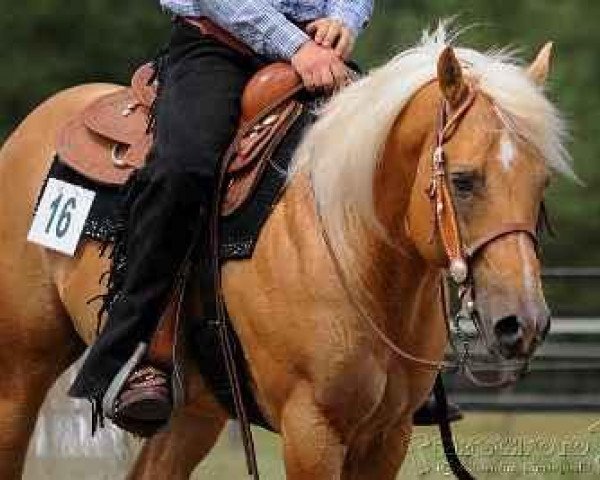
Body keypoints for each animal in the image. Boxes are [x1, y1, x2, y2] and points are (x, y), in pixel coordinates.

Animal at [0, 26, 572, 480]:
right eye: (463, 180)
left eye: (541, 183)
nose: (523, 322)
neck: (352, 250)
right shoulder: (310, 430)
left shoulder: (388, 438)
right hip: (20, 372)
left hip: (191, 416)